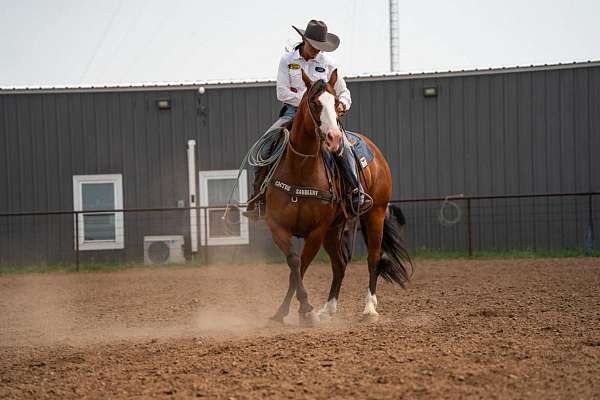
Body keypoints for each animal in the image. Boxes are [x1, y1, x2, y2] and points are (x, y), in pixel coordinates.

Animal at [268, 69, 412, 324]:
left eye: (336, 103)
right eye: (314, 103)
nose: (334, 138)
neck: (300, 169)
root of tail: (376, 153)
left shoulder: (316, 231)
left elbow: (301, 266)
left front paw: (304, 310)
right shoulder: (278, 226)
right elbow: (294, 264)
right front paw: (283, 311)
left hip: (374, 215)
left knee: (374, 258)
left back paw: (369, 308)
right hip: (335, 229)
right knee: (340, 264)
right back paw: (328, 308)